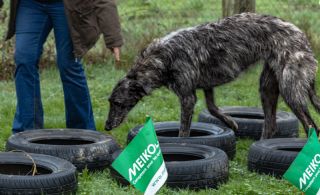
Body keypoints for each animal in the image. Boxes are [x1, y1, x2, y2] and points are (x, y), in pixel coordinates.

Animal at [104, 12, 318, 139]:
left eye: (118, 103)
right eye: (110, 102)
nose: (106, 126)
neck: (161, 57)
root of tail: (301, 36)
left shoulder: (187, 97)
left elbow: (184, 131)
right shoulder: (206, 86)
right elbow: (212, 108)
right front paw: (231, 123)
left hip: (290, 91)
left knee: (311, 126)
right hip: (267, 88)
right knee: (271, 125)